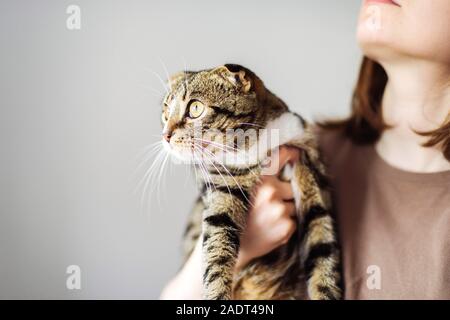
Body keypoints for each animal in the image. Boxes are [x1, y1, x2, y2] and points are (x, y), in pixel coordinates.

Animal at [161, 63, 342, 298]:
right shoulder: (221, 187)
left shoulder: (308, 166)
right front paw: (217, 294)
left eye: (195, 108)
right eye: (165, 112)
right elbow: (217, 252)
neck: (256, 145)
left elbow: (322, 247)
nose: (165, 135)